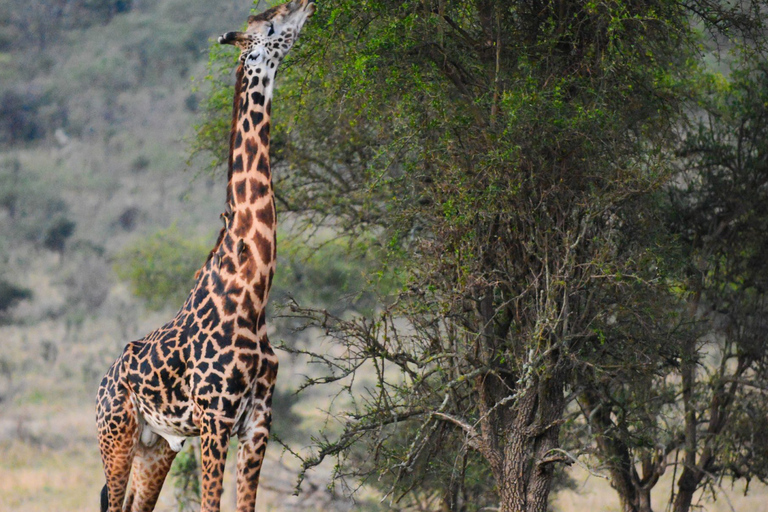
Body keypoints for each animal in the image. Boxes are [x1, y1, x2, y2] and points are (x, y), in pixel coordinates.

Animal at [97, 2, 316, 510]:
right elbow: (210, 504)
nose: (304, 5)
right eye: (271, 24)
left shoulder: (258, 424)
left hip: (157, 446)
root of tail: (102, 384)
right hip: (116, 436)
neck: (253, 290)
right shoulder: (215, 421)